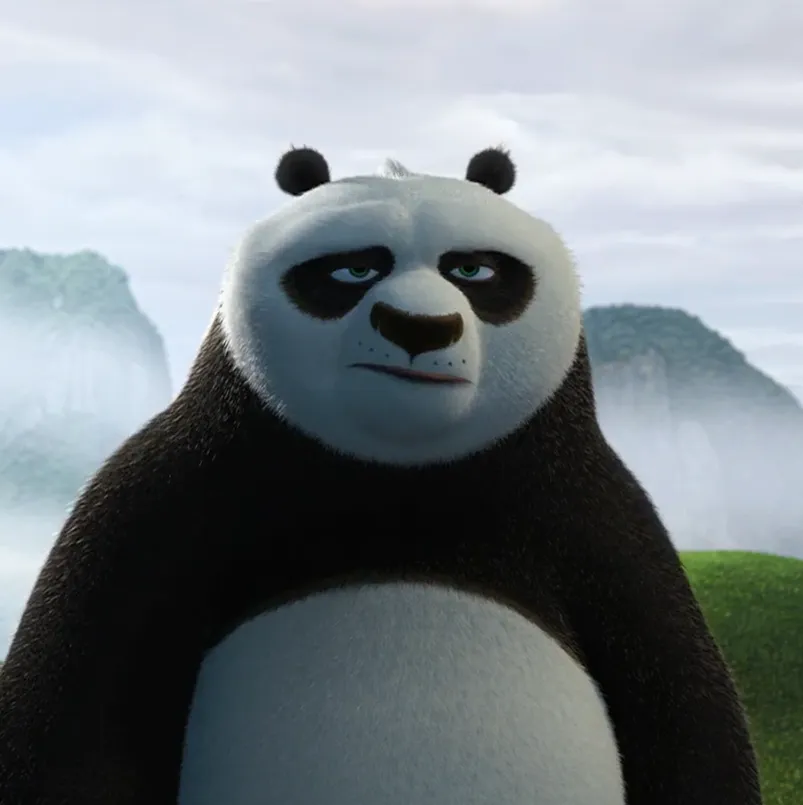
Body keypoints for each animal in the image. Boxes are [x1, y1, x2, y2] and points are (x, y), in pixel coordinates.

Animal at [0, 146, 761, 805]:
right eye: (353, 272)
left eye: (473, 272)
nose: (418, 328)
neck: (400, 481)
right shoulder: (166, 500)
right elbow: (71, 707)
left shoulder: (601, 527)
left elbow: (687, 715)